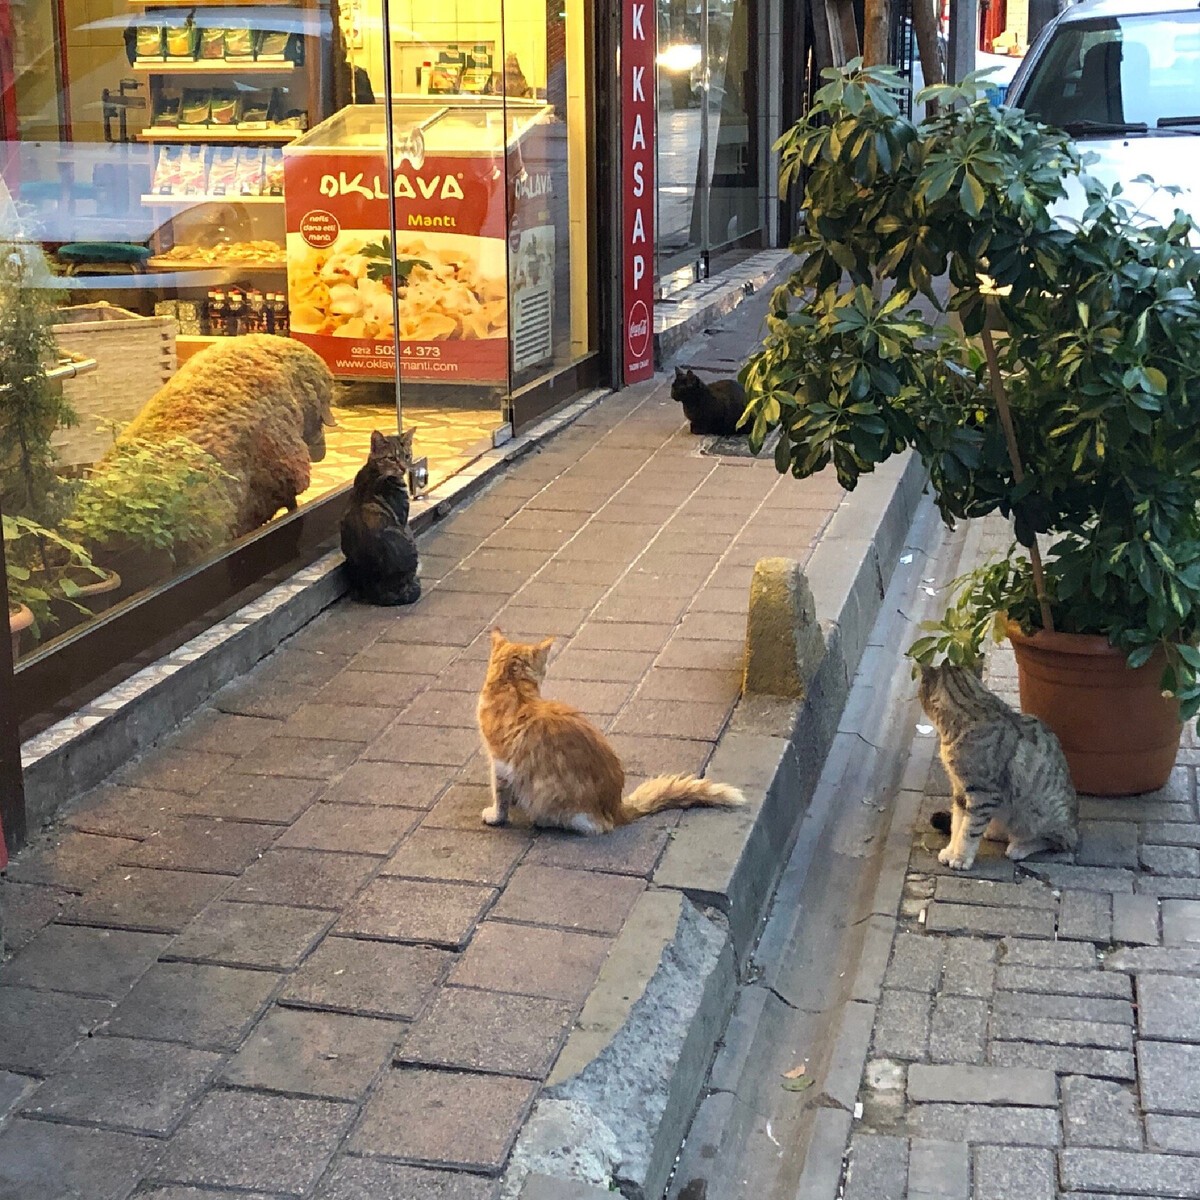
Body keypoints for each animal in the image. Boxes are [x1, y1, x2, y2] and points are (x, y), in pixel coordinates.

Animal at [475, 628, 739, 835]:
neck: (513, 687)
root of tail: (617, 807)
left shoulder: (501, 762)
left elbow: (500, 796)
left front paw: (497, 816)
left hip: (553, 800)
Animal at [916, 667, 1080, 873]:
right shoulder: (960, 790)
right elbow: (957, 824)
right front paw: (950, 850)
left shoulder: (983, 794)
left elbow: (968, 831)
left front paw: (960, 858)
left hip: (1039, 813)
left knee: (1059, 840)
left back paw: (1019, 847)